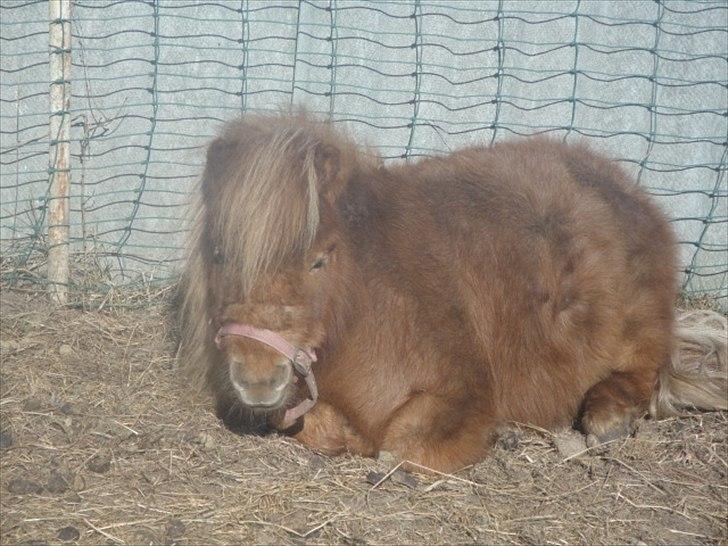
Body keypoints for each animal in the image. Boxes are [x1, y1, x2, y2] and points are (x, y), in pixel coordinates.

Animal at [180, 111, 727, 473]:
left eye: (320, 258)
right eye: (219, 254)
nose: (257, 378)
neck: (367, 296)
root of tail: (630, 192)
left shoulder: (458, 391)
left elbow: (399, 447)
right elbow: (316, 425)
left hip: (637, 325)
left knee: (643, 366)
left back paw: (608, 415)